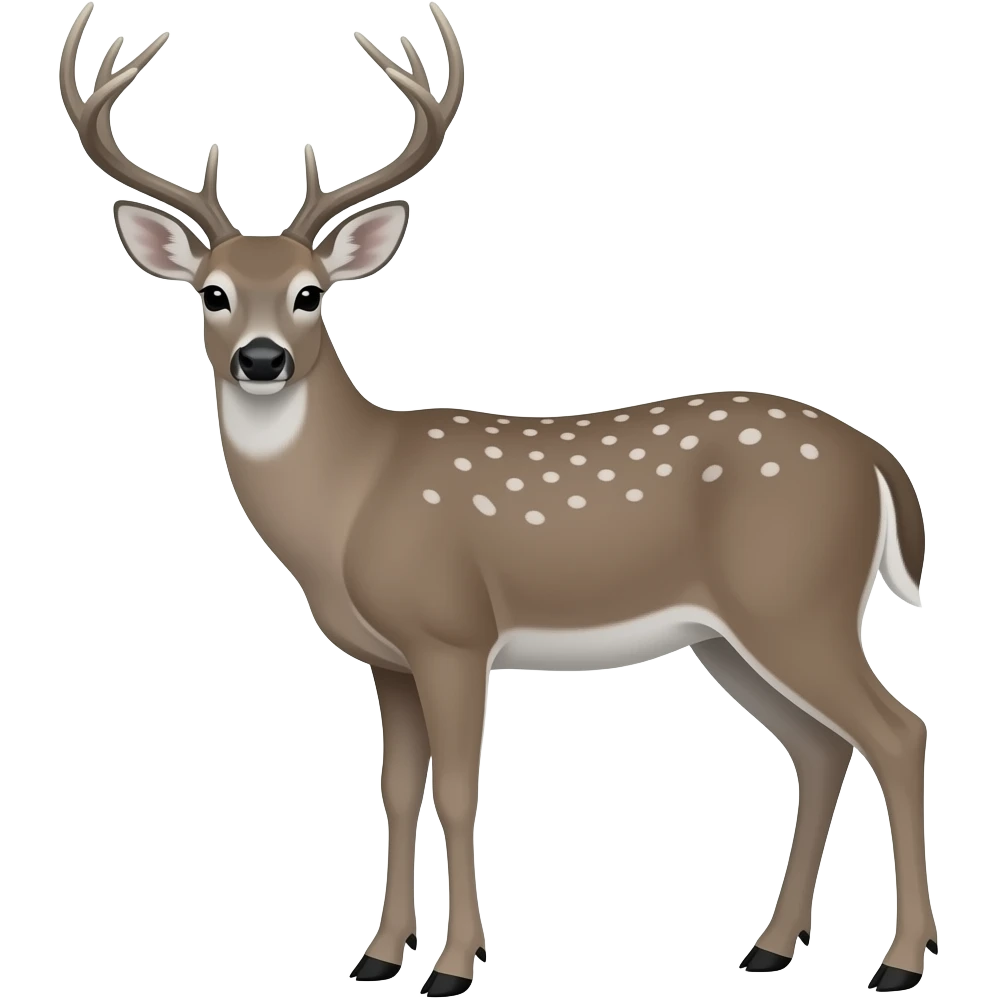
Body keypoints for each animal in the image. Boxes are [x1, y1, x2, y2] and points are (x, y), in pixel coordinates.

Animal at [59, 3, 935, 994]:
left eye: (310, 295)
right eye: (212, 294)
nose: (261, 358)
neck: (353, 497)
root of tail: (877, 461)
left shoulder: (451, 631)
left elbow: (456, 787)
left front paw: (453, 964)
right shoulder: (389, 659)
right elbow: (396, 791)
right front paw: (377, 955)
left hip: (796, 600)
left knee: (898, 732)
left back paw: (900, 962)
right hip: (734, 633)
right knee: (821, 746)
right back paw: (770, 946)